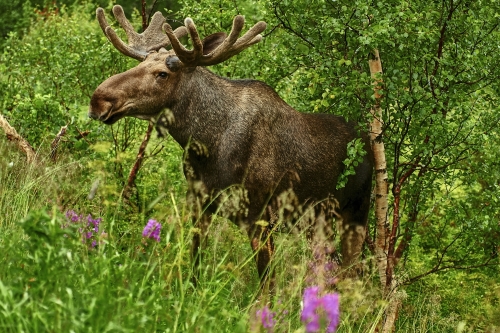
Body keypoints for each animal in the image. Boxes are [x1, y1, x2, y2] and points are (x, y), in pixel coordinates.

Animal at [89, 6, 372, 290]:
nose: (98, 99)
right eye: (140, 64)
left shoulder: (260, 216)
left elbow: (267, 284)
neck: (205, 145)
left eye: (162, 74)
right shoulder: (199, 204)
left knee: (352, 272)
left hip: (355, 214)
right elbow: (195, 264)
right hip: (317, 222)